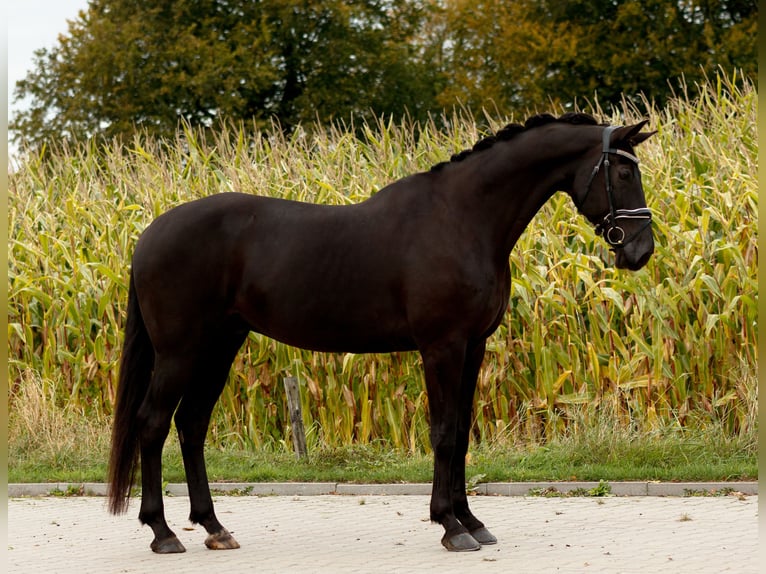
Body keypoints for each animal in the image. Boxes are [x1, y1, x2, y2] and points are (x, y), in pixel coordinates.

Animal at [108, 112, 656, 552]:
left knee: (191, 425)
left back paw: (214, 527)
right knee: (153, 423)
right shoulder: (441, 347)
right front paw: (450, 526)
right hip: (179, 352)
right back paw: (163, 532)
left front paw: (473, 521)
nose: (640, 250)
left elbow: (462, 431)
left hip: (219, 347)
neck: (463, 218)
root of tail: (148, 235)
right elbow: (443, 432)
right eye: (623, 171)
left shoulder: (473, 346)